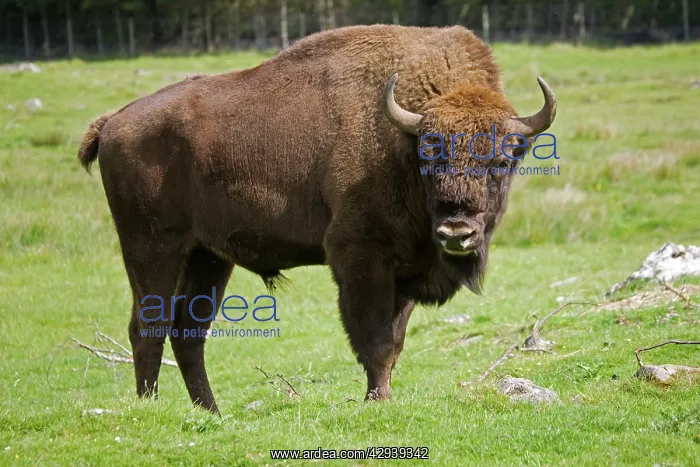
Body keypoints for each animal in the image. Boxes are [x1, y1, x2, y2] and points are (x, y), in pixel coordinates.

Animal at [78, 24, 556, 413]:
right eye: (429, 156)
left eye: (502, 161)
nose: (456, 231)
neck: (398, 138)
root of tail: (113, 122)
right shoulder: (359, 256)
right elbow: (375, 341)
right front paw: (377, 401)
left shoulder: (405, 270)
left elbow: (395, 341)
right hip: (151, 247)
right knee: (148, 324)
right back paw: (150, 408)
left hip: (207, 256)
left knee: (187, 332)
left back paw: (211, 413)